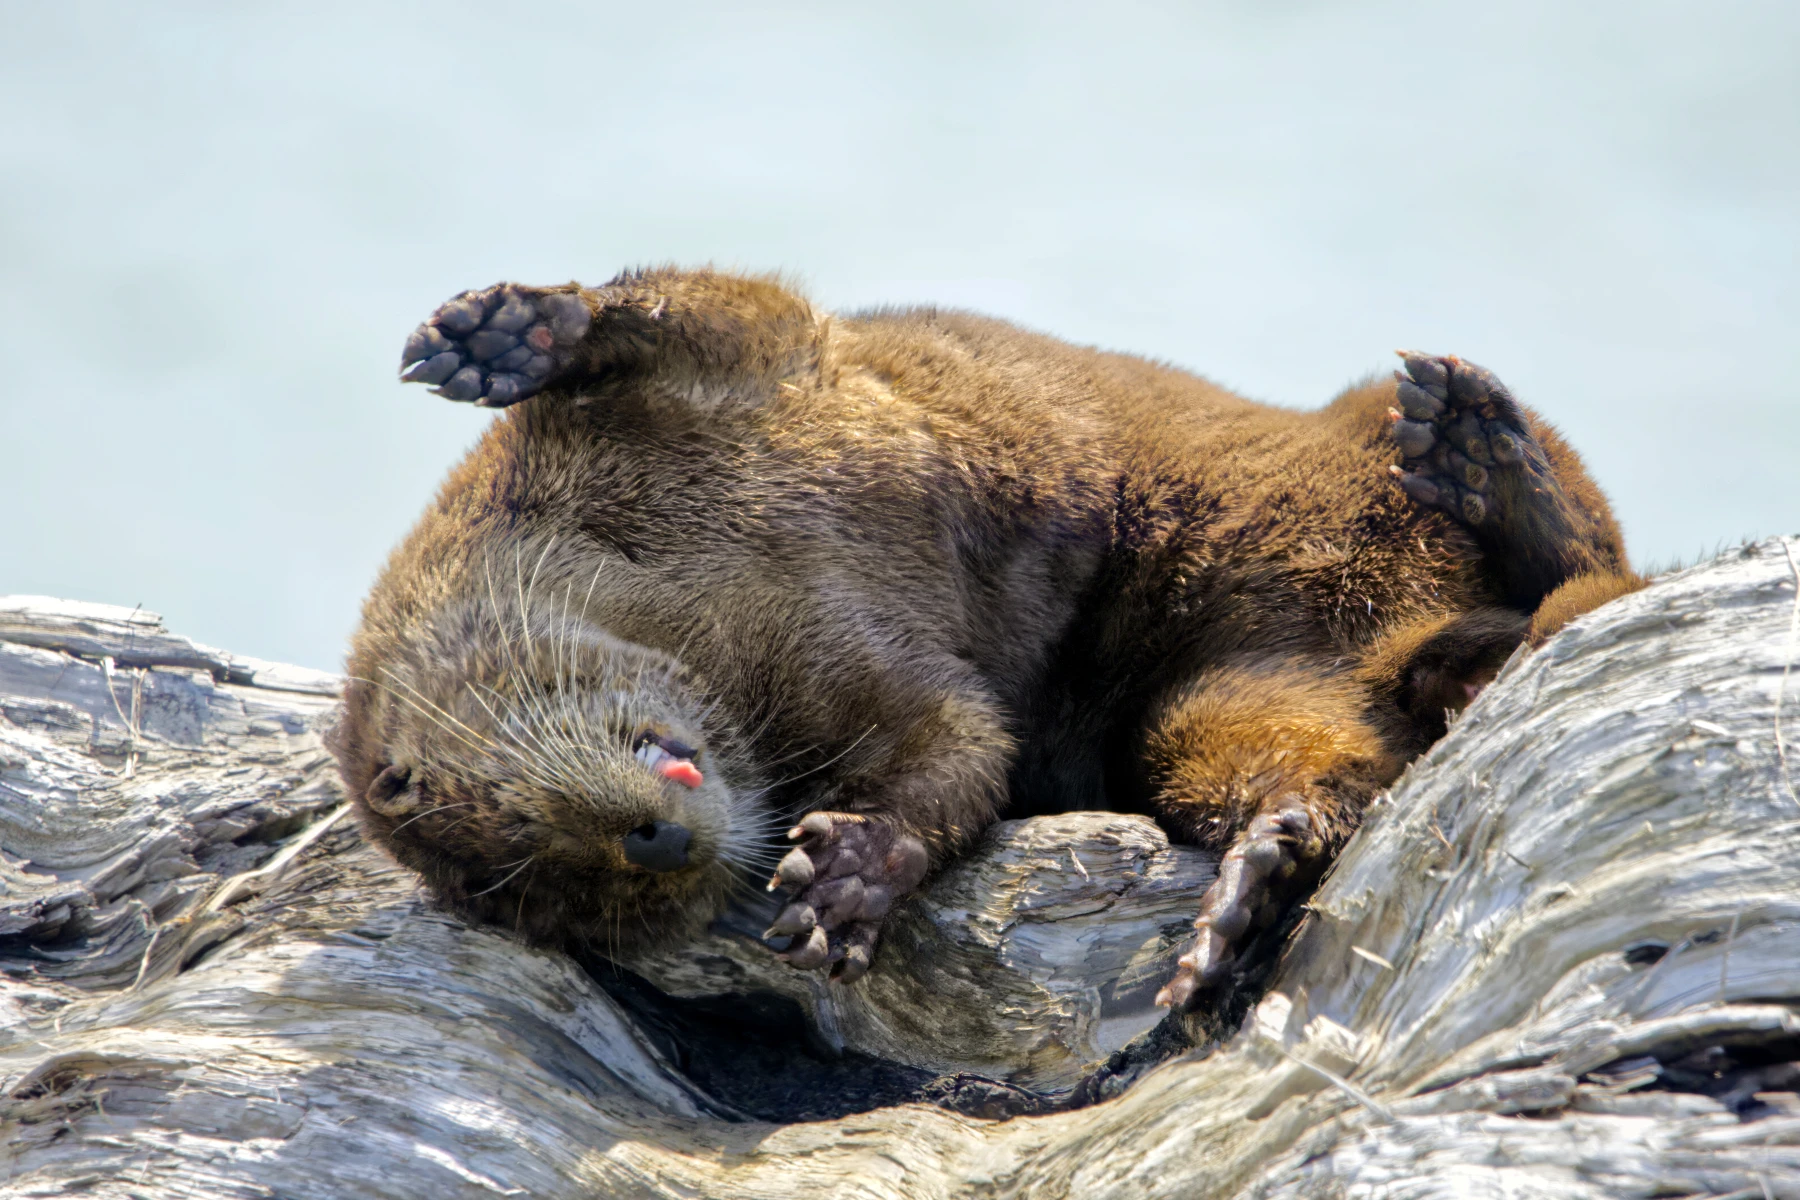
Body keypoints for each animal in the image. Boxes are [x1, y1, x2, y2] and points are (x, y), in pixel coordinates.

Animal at [330, 267, 1639, 1010]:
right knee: (1318, 767)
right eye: (536, 878)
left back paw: (1476, 444)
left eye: (502, 807)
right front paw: (849, 876)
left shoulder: (730, 377)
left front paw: (500, 334)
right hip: (1215, 699)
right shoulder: (841, 672)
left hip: (1357, 433)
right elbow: (962, 739)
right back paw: (1248, 890)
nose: (653, 841)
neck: (680, 571)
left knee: (1595, 551)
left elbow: (690, 298)